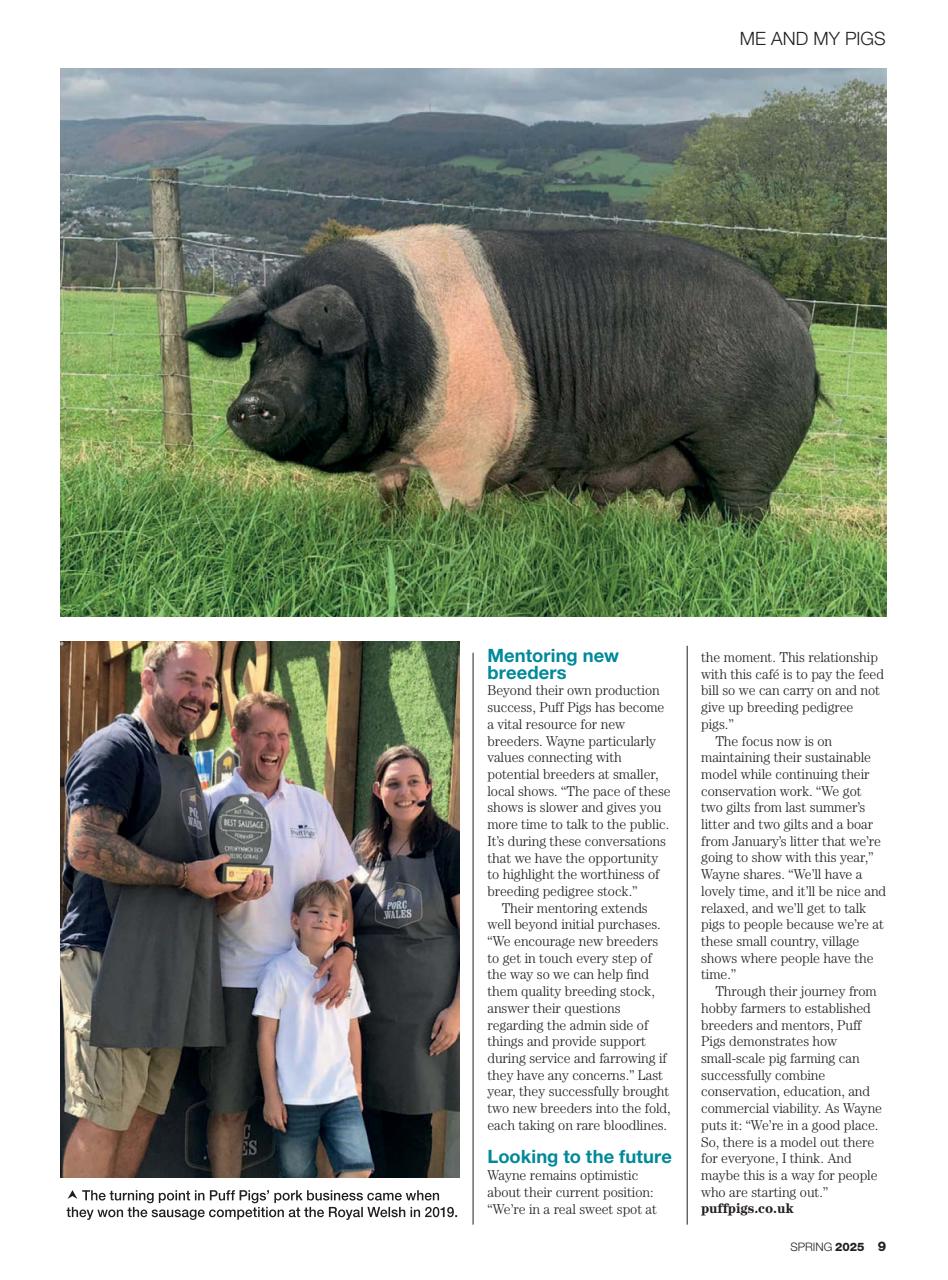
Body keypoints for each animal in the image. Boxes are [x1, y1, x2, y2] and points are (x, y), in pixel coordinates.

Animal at [185, 225, 823, 522]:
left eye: (316, 347)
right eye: (261, 346)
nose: (251, 403)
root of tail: (793, 315)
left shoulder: (467, 454)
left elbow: (458, 516)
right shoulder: (396, 462)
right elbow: (391, 497)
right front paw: (388, 533)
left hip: (747, 452)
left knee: (743, 513)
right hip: (696, 455)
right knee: (697, 505)